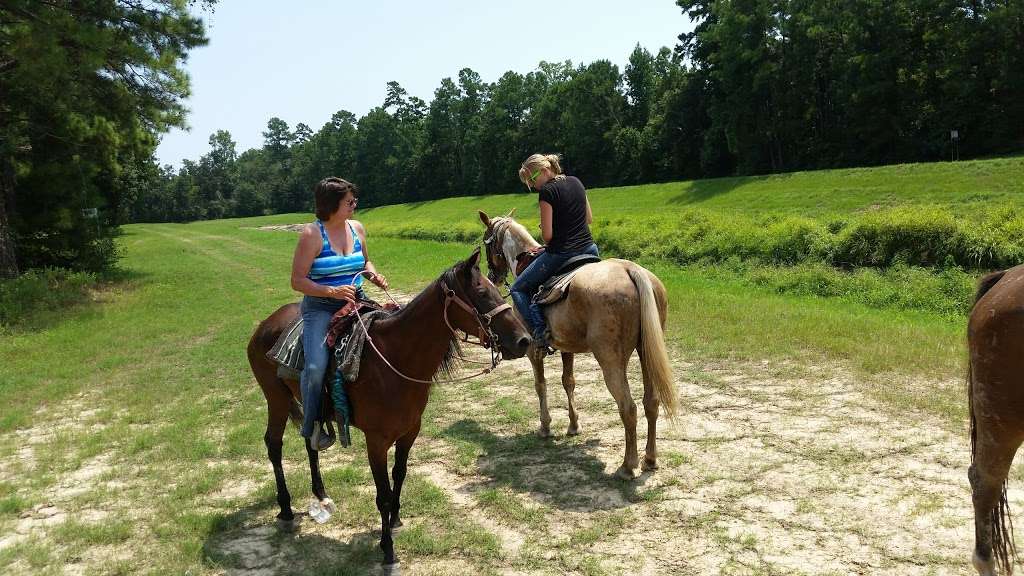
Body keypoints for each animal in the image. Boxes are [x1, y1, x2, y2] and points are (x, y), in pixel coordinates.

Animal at [243, 248, 524, 565]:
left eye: (496, 290)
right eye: (481, 293)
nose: (523, 340)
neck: (394, 359)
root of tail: (265, 325)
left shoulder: (410, 432)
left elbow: (399, 476)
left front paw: (395, 520)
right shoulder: (376, 442)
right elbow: (383, 493)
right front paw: (387, 548)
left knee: (309, 441)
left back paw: (321, 494)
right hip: (275, 399)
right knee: (273, 444)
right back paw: (286, 508)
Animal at [477, 208, 679, 477]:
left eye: (486, 242)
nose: (492, 277)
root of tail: (630, 270)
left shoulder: (532, 350)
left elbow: (540, 385)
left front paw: (545, 427)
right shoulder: (566, 347)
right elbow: (568, 382)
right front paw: (573, 426)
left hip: (611, 361)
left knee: (628, 407)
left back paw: (628, 465)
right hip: (646, 353)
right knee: (651, 403)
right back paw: (650, 458)